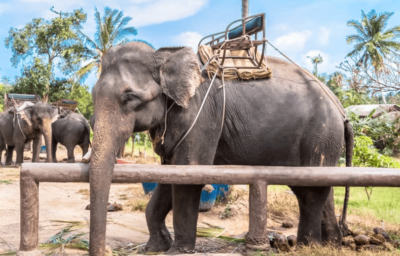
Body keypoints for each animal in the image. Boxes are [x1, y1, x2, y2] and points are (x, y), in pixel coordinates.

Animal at [88, 41, 354, 255]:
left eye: (130, 97)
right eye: (92, 94)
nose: (106, 251)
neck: (164, 56)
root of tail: (341, 110)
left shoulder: (201, 115)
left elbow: (188, 173)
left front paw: (177, 252)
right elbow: (170, 174)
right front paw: (154, 248)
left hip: (319, 133)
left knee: (309, 190)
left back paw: (308, 247)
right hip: (324, 139)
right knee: (323, 186)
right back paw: (331, 244)